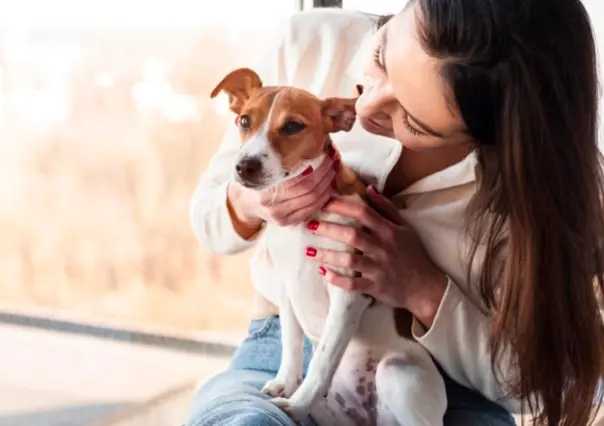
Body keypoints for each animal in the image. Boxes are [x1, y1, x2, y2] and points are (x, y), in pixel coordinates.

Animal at [210, 68, 446, 424]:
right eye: (244, 121)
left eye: (293, 126)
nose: (244, 166)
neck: (304, 223)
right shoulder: (286, 287)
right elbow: (292, 342)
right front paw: (286, 384)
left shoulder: (348, 292)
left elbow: (323, 359)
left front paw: (296, 404)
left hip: (398, 375)